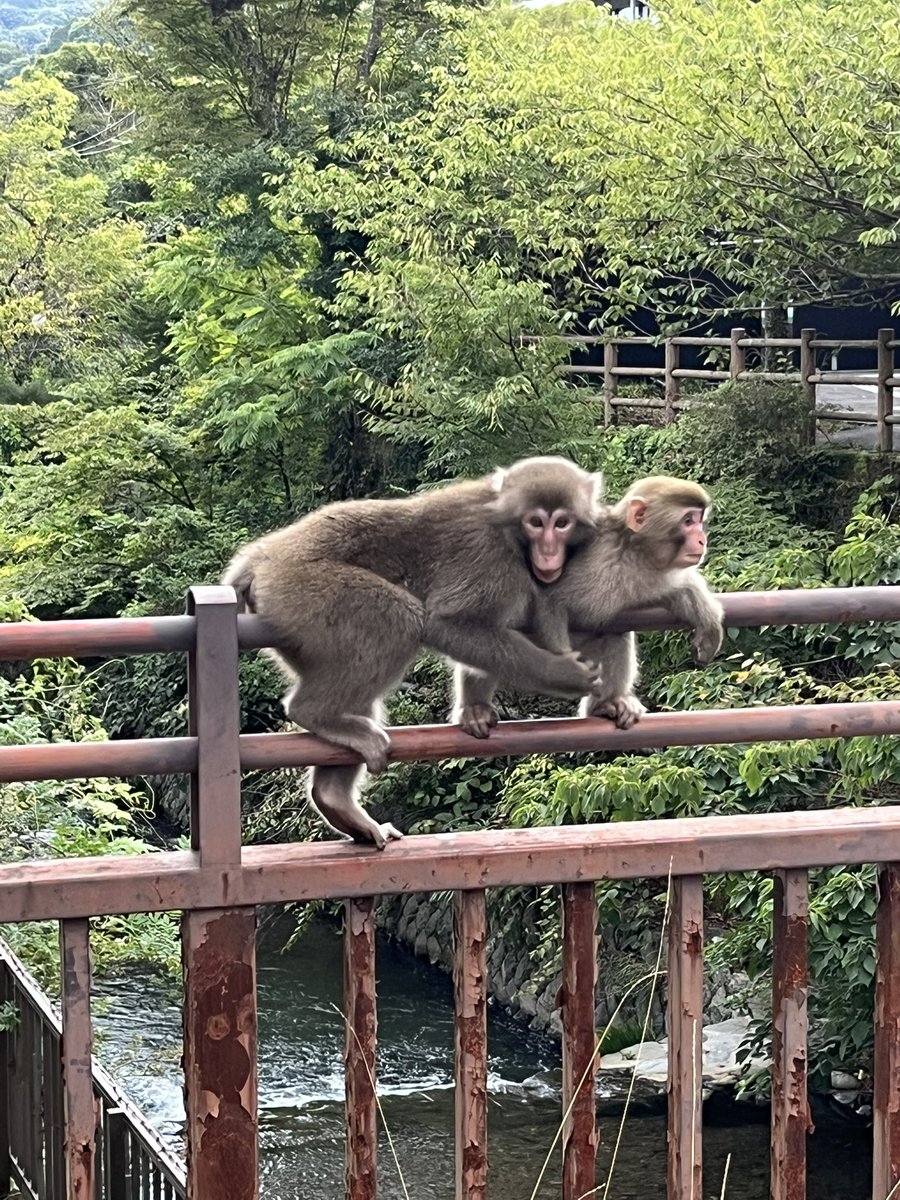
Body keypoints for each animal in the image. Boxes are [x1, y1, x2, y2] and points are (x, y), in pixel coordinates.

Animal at [222, 456, 605, 848]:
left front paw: (475, 710)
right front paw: (564, 673)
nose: (549, 552)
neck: (511, 538)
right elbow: (446, 624)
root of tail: (262, 555)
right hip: (305, 590)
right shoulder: (490, 560)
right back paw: (316, 713)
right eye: (536, 522)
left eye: (562, 523)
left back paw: (334, 797)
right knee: (398, 622)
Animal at [453, 475, 725, 737]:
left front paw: (705, 614)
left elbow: (670, 591)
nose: (702, 540)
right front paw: (562, 673)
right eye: (688, 521)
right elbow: (551, 601)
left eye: (699, 521)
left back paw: (605, 705)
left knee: (615, 634)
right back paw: (475, 708)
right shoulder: (597, 561)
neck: (632, 550)